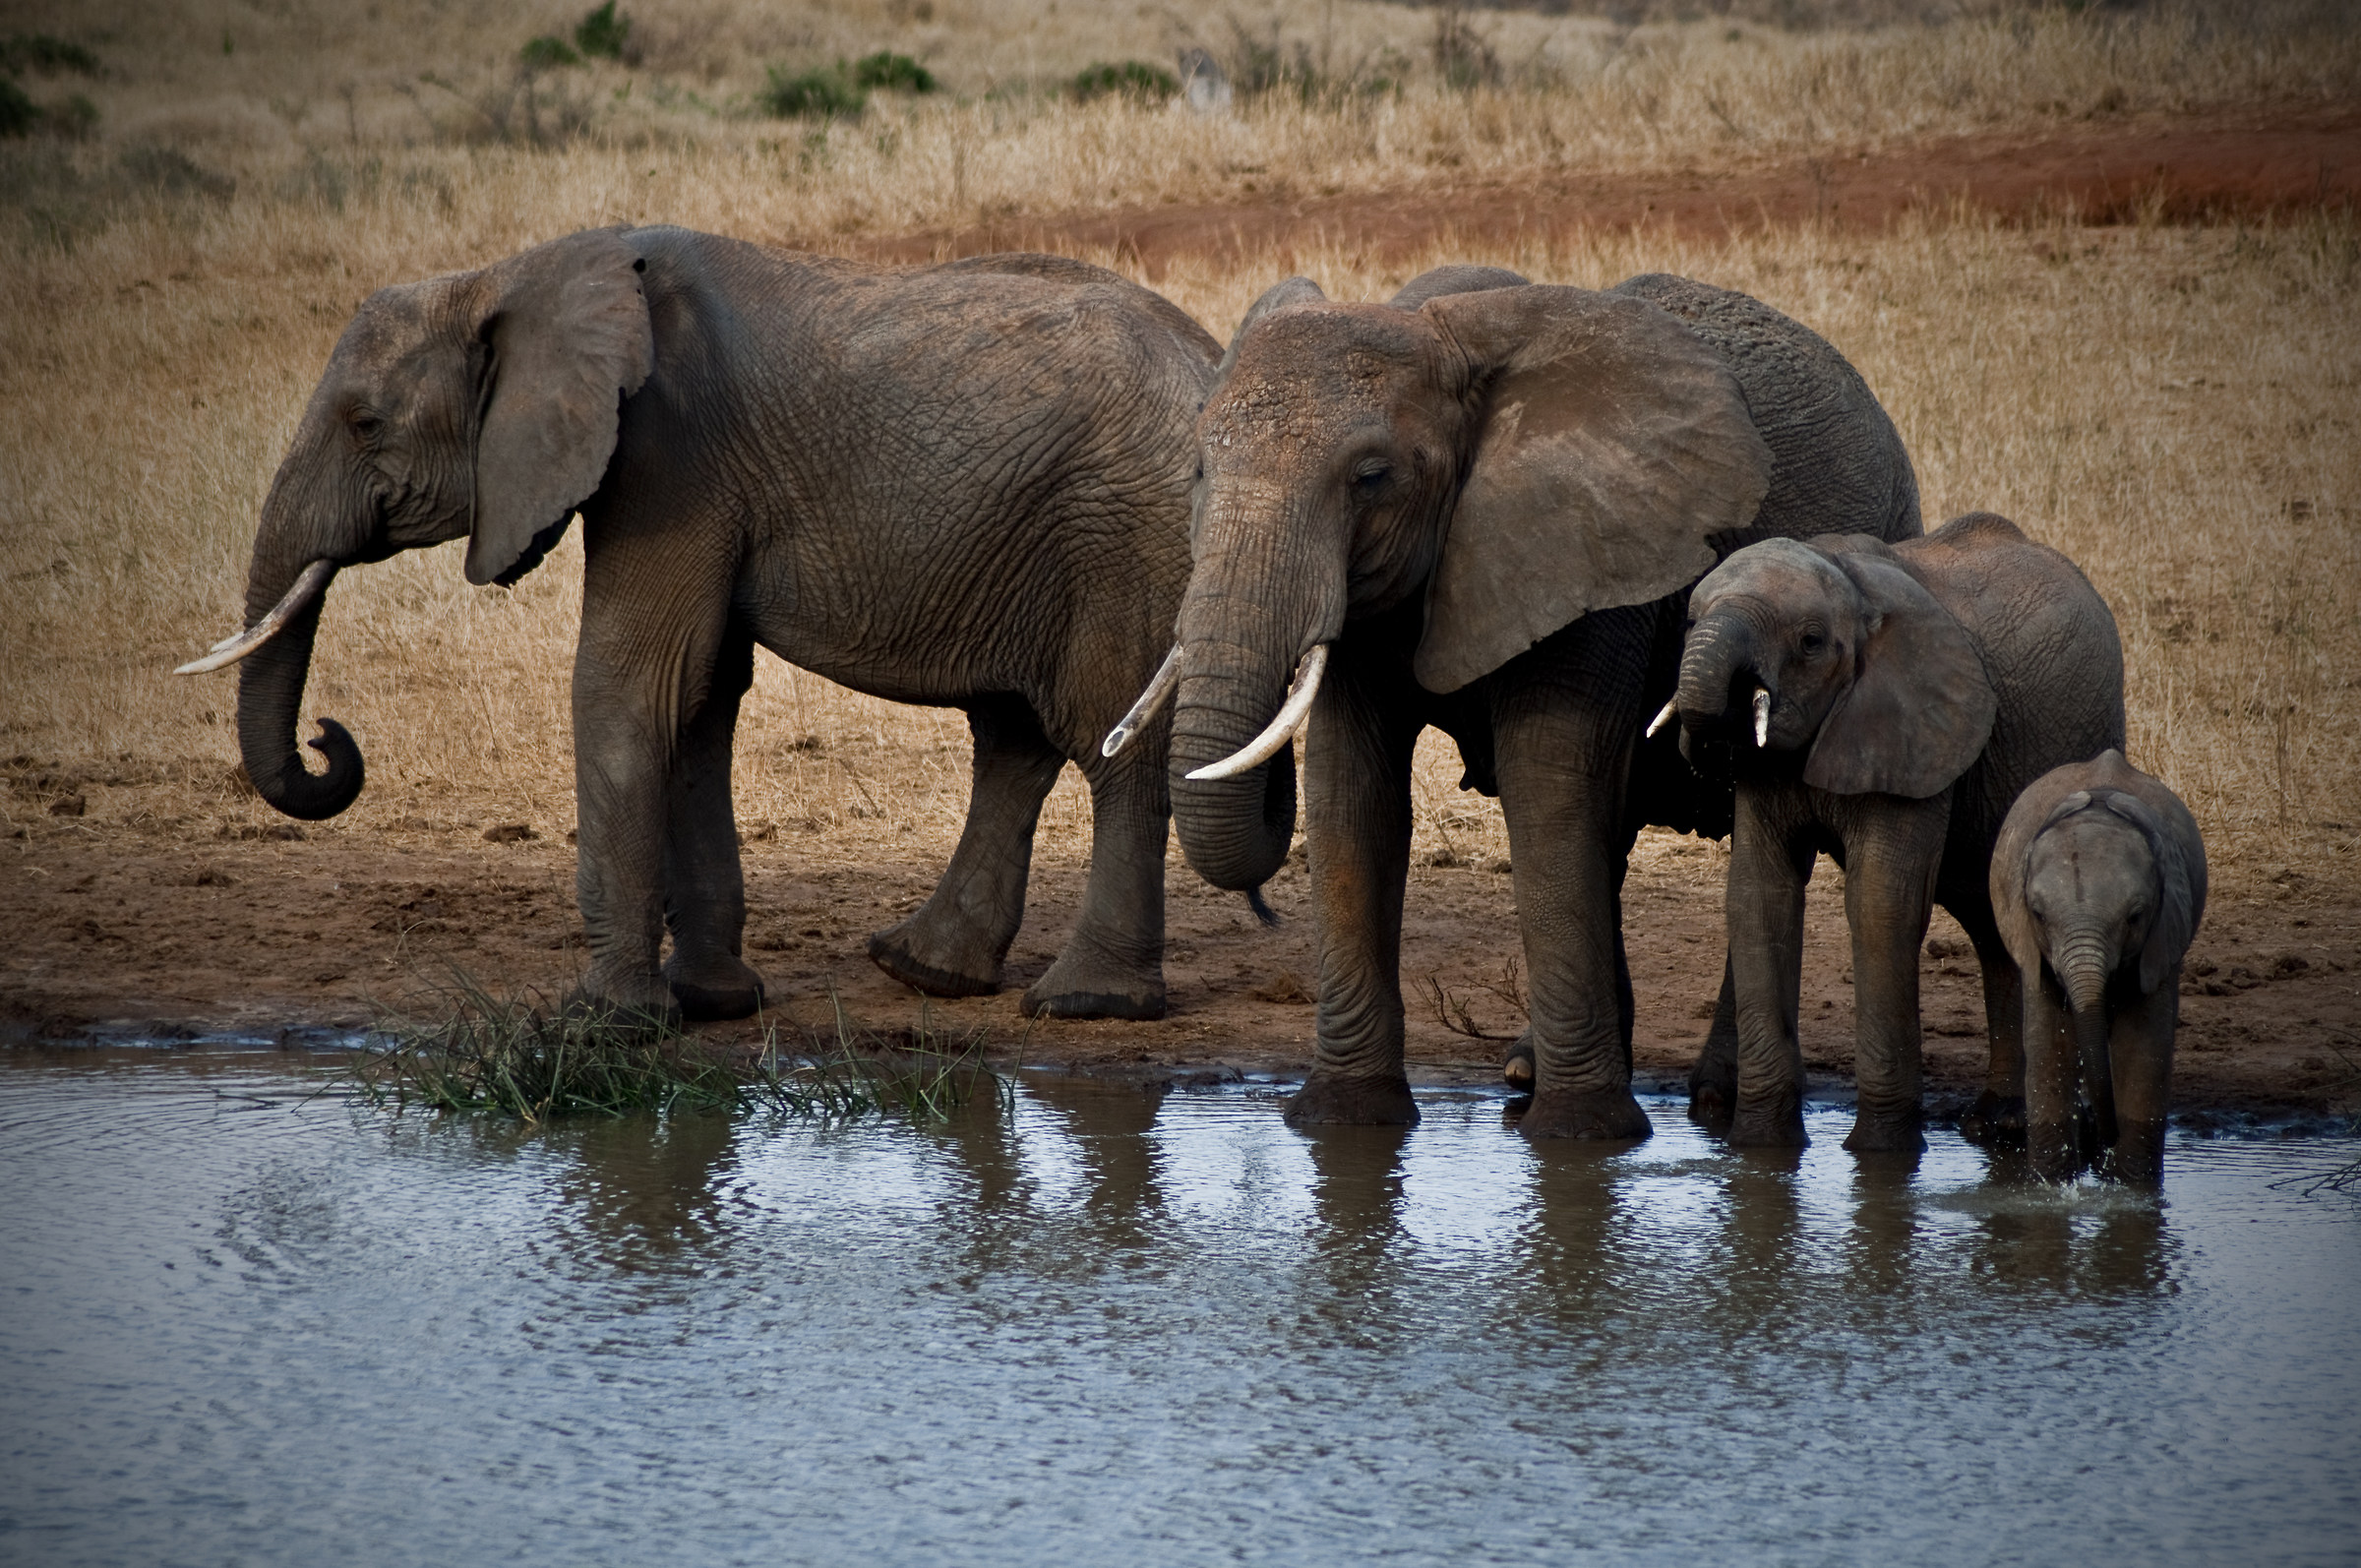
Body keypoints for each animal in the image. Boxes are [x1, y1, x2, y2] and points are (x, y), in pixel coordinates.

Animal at [177, 226, 1225, 1023]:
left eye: (364, 424)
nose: (328, 738)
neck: (514, 275)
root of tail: (1215, 359)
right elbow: (699, 698)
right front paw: (712, 1003)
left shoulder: (668, 457)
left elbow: (631, 684)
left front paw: (608, 1019)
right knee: (1012, 738)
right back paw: (920, 971)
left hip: (1122, 536)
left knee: (1106, 742)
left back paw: (1085, 1005)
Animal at [1103, 265, 1922, 1136]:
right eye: (1197, 470)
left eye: (1370, 478)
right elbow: (1353, 795)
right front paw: (1343, 1120)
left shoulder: (1593, 555)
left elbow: (1547, 788)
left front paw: (1582, 1136)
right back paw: (1529, 1069)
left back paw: (1709, 1097)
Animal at [1663, 512, 2126, 1152]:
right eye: (1689, 620)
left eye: (1810, 642)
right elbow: (1759, 896)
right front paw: (1759, 1147)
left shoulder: (1917, 727)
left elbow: (1882, 902)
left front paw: (1880, 1152)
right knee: (1994, 921)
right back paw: (2002, 1122)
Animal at [1991, 749, 2206, 1184]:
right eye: (2038, 915)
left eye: (2135, 917)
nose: (2103, 1140)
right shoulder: (2034, 950)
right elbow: (2049, 1048)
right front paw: (2051, 1186)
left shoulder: (2162, 937)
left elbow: (2144, 1052)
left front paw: (2131, 1188)